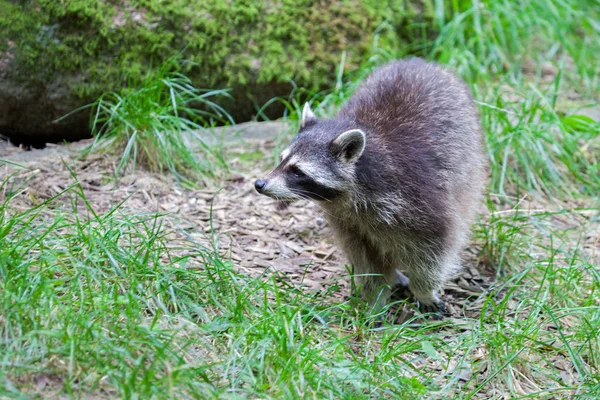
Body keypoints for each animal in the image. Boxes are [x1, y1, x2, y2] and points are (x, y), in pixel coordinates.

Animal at [253, 57, 488, 318]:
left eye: (297, 171)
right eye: (281, 160)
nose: (260, 184)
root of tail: (417, 60)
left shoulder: (419, 200)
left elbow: (433, 251)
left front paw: (423, 290)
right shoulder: (349, 223)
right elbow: (366, 261)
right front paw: (375, 296)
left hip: (469, 155)